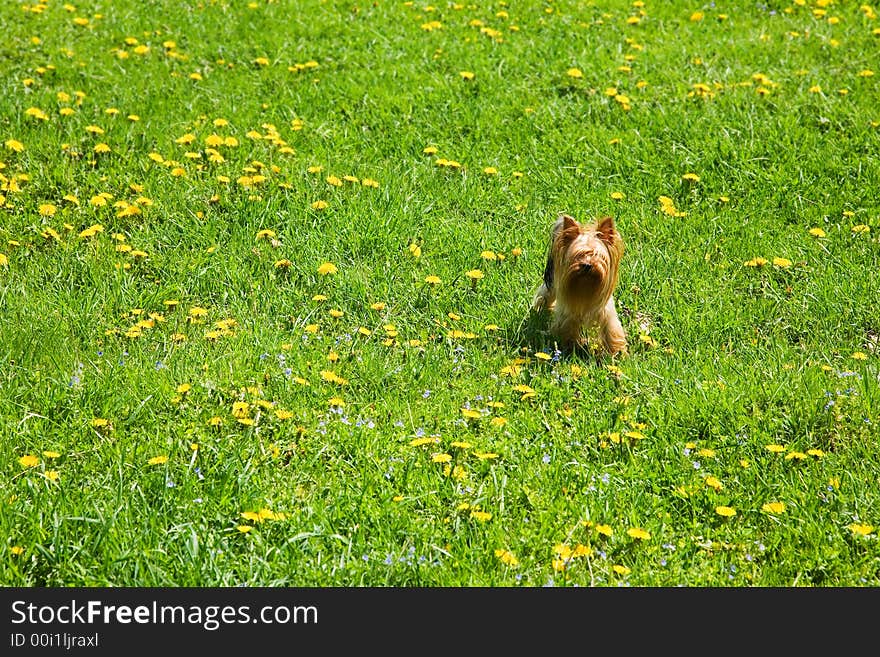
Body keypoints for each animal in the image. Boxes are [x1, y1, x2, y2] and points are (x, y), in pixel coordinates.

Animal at [528, 214, 624, 354]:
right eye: (577, 256)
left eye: (598, 255)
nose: (587, 265)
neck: (586, 283)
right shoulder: (568, 314)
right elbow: (568, 330)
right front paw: (572, 348)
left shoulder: (607, 312)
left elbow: (611, 331)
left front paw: (616, 353)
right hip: (552, 286)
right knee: (544, 295)